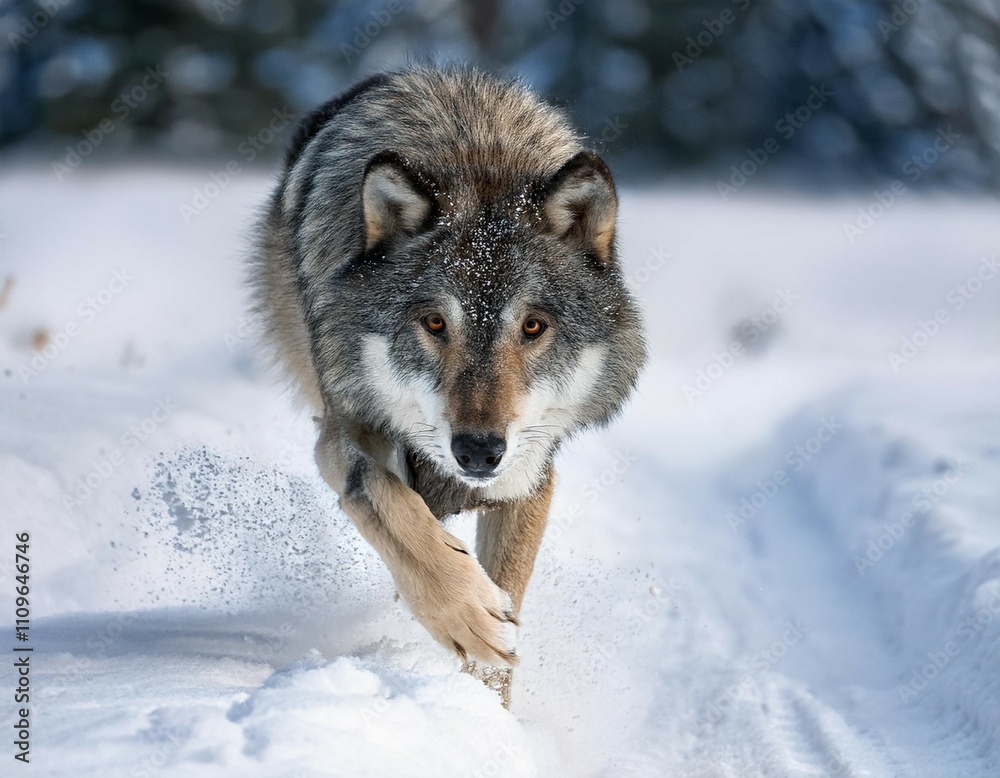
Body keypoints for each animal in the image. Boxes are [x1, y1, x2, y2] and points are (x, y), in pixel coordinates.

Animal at [252, 66, 645, 705]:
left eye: (532, 326)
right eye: (435, 323)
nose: (479, 451)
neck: (479, 157)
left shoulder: (529, 469)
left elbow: (505, 603)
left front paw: (484, 715)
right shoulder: (343, 424)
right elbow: (382, 496)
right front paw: (467, 614)